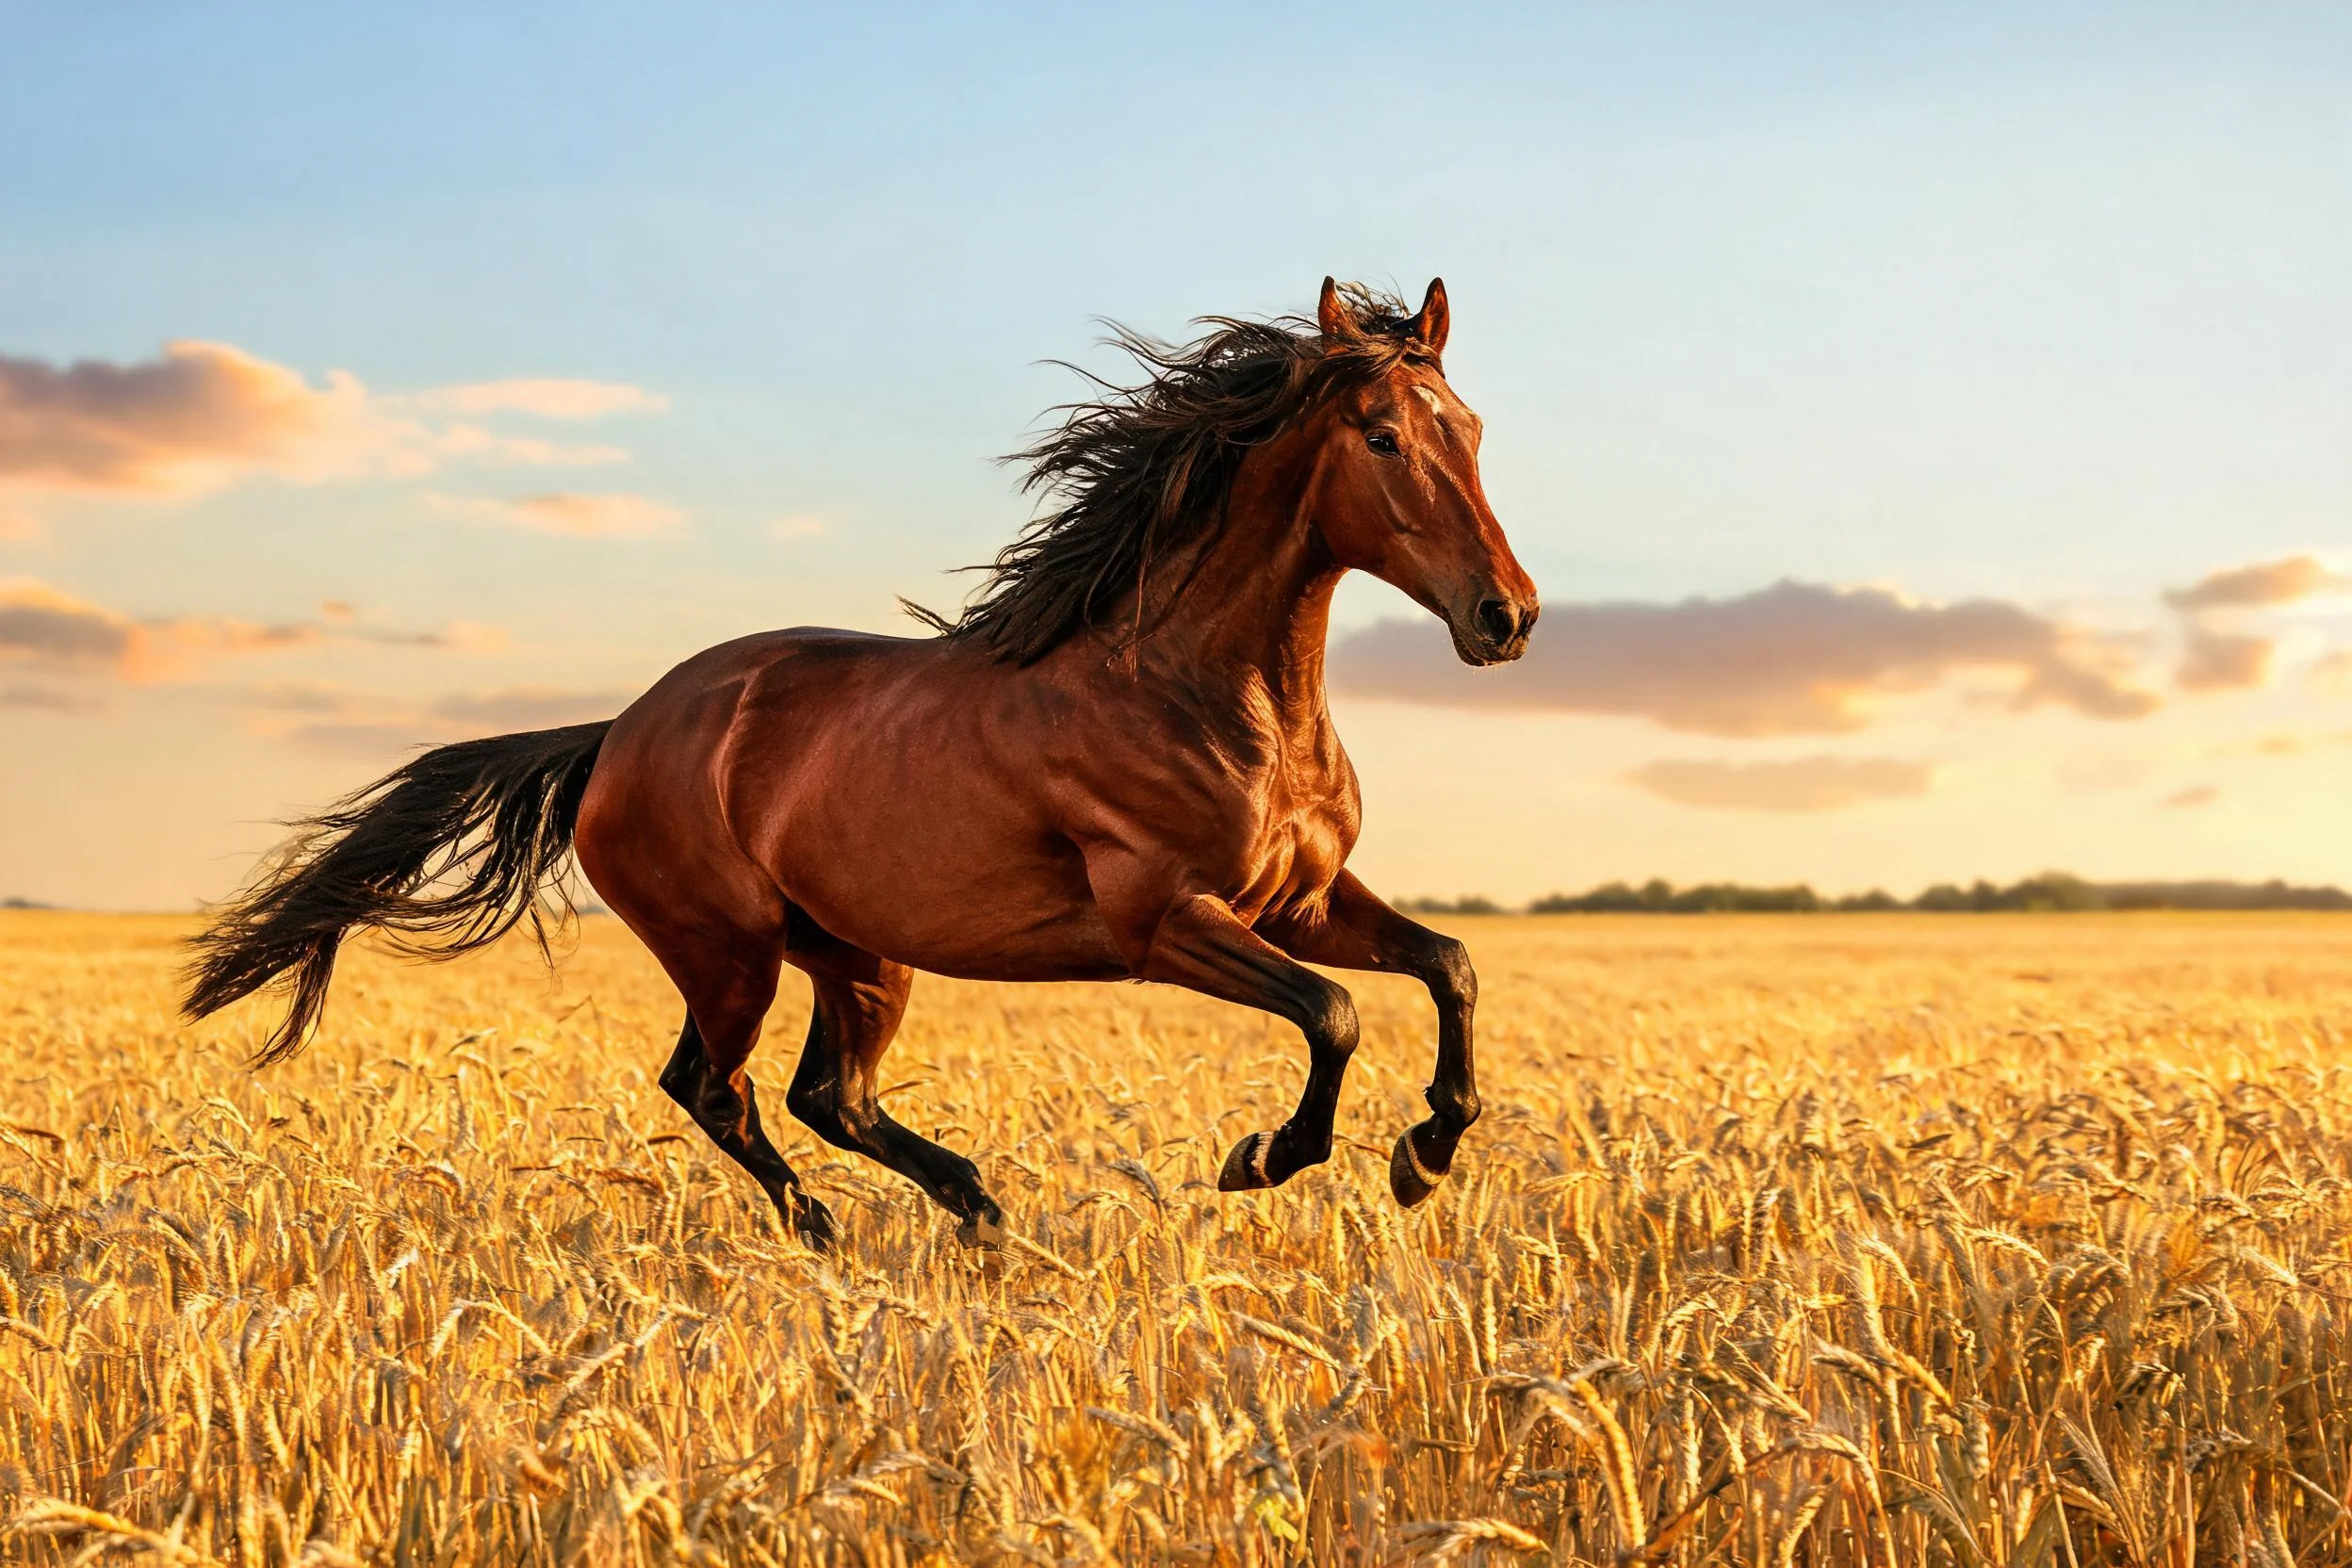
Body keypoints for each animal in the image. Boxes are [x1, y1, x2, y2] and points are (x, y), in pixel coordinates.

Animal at [182, 278, 1540, 1250]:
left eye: (1474, 429)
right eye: (1380, 436)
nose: (1507, 616)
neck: (1203, 690)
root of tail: (619, 733)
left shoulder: (1300, 902)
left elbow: (1449, 967)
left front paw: (1426, 1156)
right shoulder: (1165, 923)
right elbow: (1338, 1014)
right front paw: (1264, 1157)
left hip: (853, 950)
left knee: (824, 1096)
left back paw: (976, 1211)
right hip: (727, 951)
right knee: (713, 1087)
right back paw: (831, 1229)